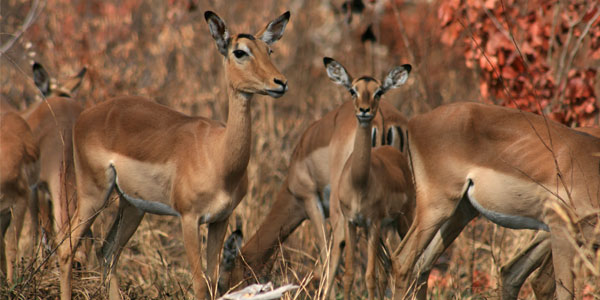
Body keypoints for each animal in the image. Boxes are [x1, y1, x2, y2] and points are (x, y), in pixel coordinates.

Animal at [59, 9, 290, 300]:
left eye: (269, 50)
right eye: (240, 52)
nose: (280, 82)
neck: (219, 157)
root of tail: (85, 115)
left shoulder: (220, 220)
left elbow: (213, 280)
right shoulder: (189, 219)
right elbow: (200, 283)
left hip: (132, 205)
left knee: (108, 252)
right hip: (94, 194)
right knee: (67, 249)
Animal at [324, 56, 412, 300]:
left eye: (379, 91)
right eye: (352, 90)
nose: (364, 111)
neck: (359, 182)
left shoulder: (372, 223)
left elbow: (369, 277)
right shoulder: (352, 222)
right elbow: (349, 275)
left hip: (403, 221)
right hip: (386, 227)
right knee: (390, 266)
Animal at [394, 103, 600, 300]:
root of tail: (415, 121)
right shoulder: (561, 230)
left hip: (461, 213)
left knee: (422, 266)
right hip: (437, 207)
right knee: (402, 261)